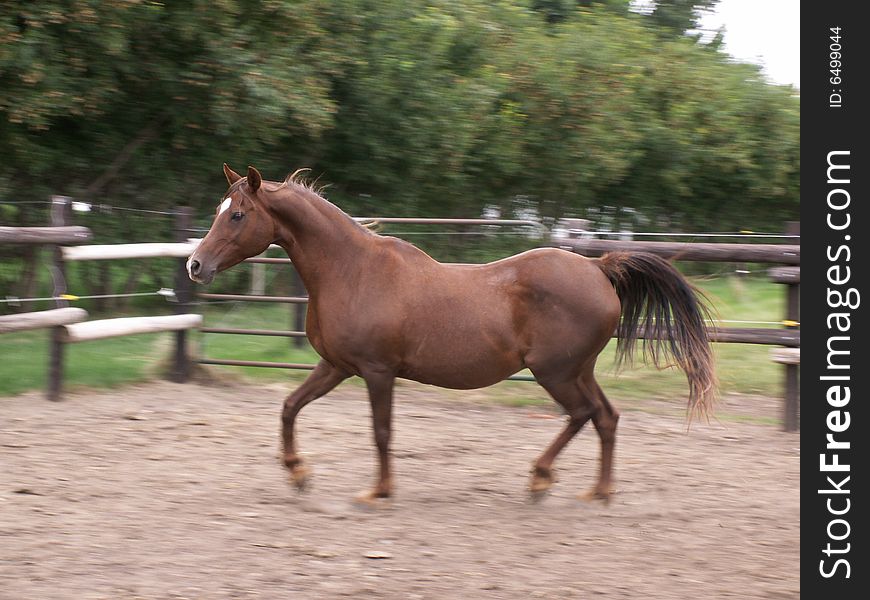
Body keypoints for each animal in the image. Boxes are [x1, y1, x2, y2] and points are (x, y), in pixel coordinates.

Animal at [186, 163, 716, 502]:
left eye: (237, 214)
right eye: (218, 210)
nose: (195, 265)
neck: (351, 270)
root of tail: (599, 267)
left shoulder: (377, 371)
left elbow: (382, 431)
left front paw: (378, 490)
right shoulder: (336, 366)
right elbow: (290, 407)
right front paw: (298, 475)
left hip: (556, 372)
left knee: (583, 414)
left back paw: (541, 479)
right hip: (578, 370)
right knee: (606, 416)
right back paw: (597, 491)